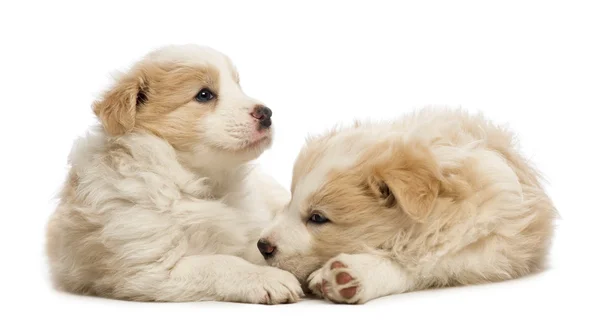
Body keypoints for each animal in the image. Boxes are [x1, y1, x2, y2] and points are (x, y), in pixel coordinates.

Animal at [45, 44, 304, 302]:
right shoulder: (150, 268)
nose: (267, 113)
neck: (192, 183)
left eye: (238, 85)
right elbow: (220, 262)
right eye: (204, 95)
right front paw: (268, 277)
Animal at [258, 107, 556, 302]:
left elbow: (430, 260)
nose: (262, 246)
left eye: (318, 218)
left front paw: (351, 275)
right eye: (290, 200)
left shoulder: (493, 237)